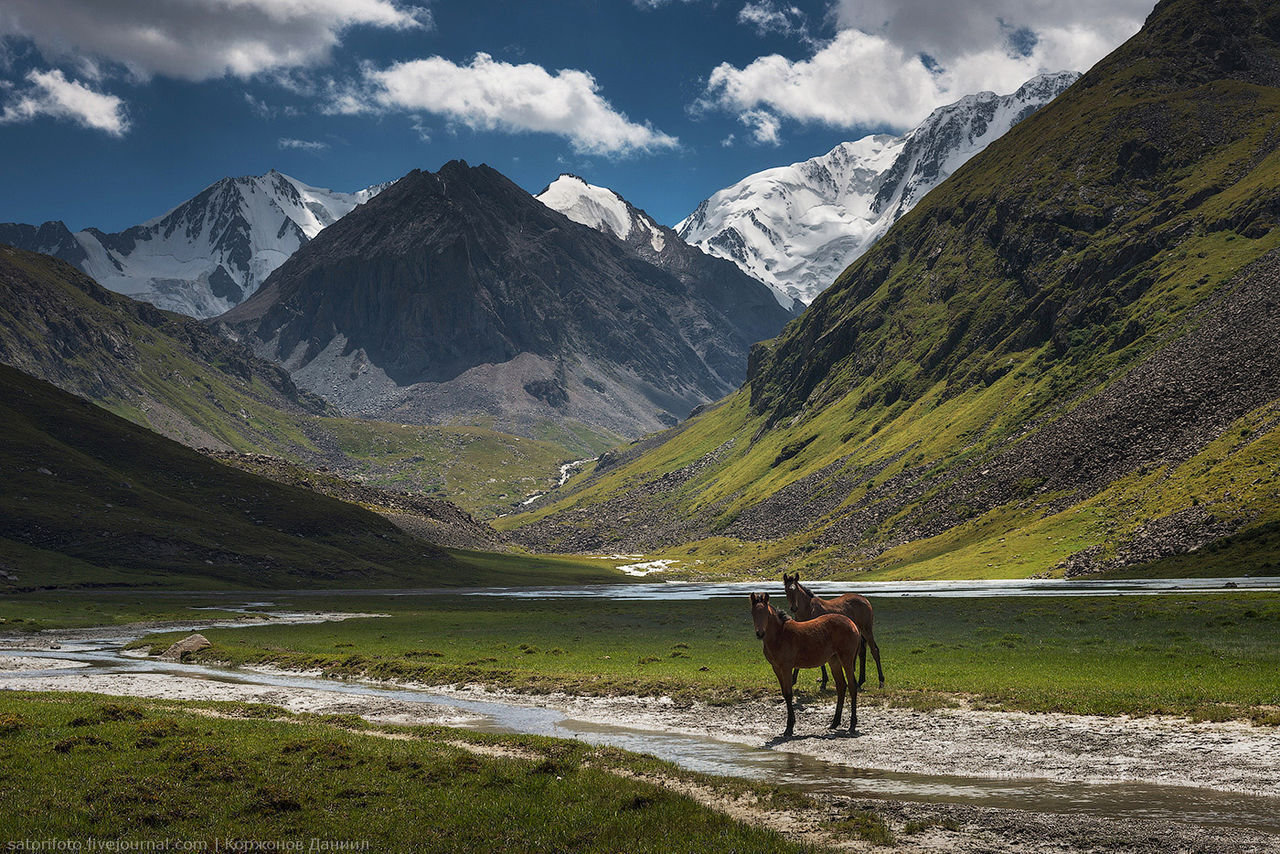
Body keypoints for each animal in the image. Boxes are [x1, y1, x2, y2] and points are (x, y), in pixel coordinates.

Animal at [747, 591, 860, 737]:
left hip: (847, 659)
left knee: (852, 686)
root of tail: (853, 624)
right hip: (834, 660)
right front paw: (790, 724)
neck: (780, 635)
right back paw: (834, 723)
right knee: (841, 686)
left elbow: (789, 694)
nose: (760, 633)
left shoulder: (786, 667)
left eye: (766, 613)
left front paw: (789, 728)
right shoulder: (776, 668)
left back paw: (852, 725)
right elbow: (784, 693)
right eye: (753, 613)